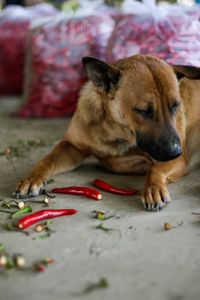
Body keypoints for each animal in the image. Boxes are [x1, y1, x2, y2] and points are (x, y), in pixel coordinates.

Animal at [13, 55, 200, 212]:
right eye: (143, 111)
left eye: (175, 106)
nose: (176, 152)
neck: (115, 130)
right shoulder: (72, 146)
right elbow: (47, 160)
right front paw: (31, 179)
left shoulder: (177, 162)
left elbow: (155, 170)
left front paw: (153, 188)